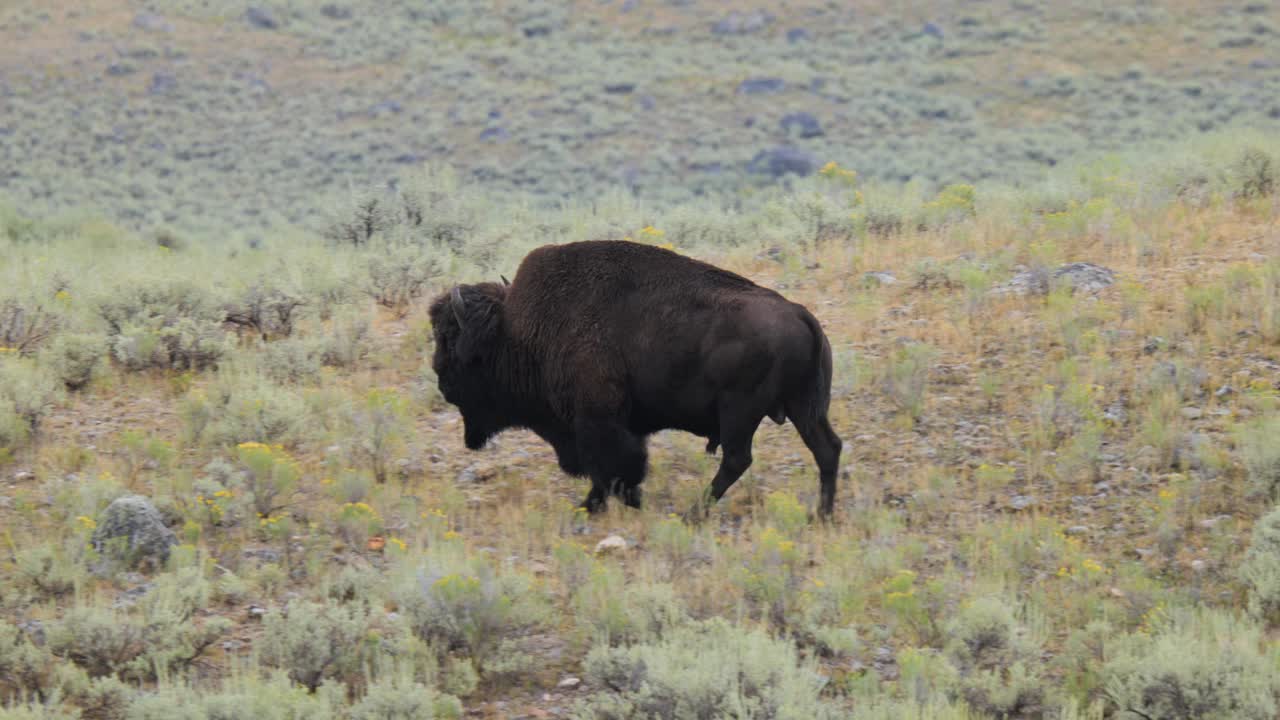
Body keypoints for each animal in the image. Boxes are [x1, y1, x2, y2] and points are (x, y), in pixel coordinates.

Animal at [430, 239, 839, 515]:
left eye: (452, 342)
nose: (441, 380)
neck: (518, 331)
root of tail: (800, 313)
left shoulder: (596, 421)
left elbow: (611, 466)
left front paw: (602, 504)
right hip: (803, 408)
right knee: (827, 449)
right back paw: (821, 515)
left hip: (741, 412)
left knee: (738, 459)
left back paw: (694, 514)